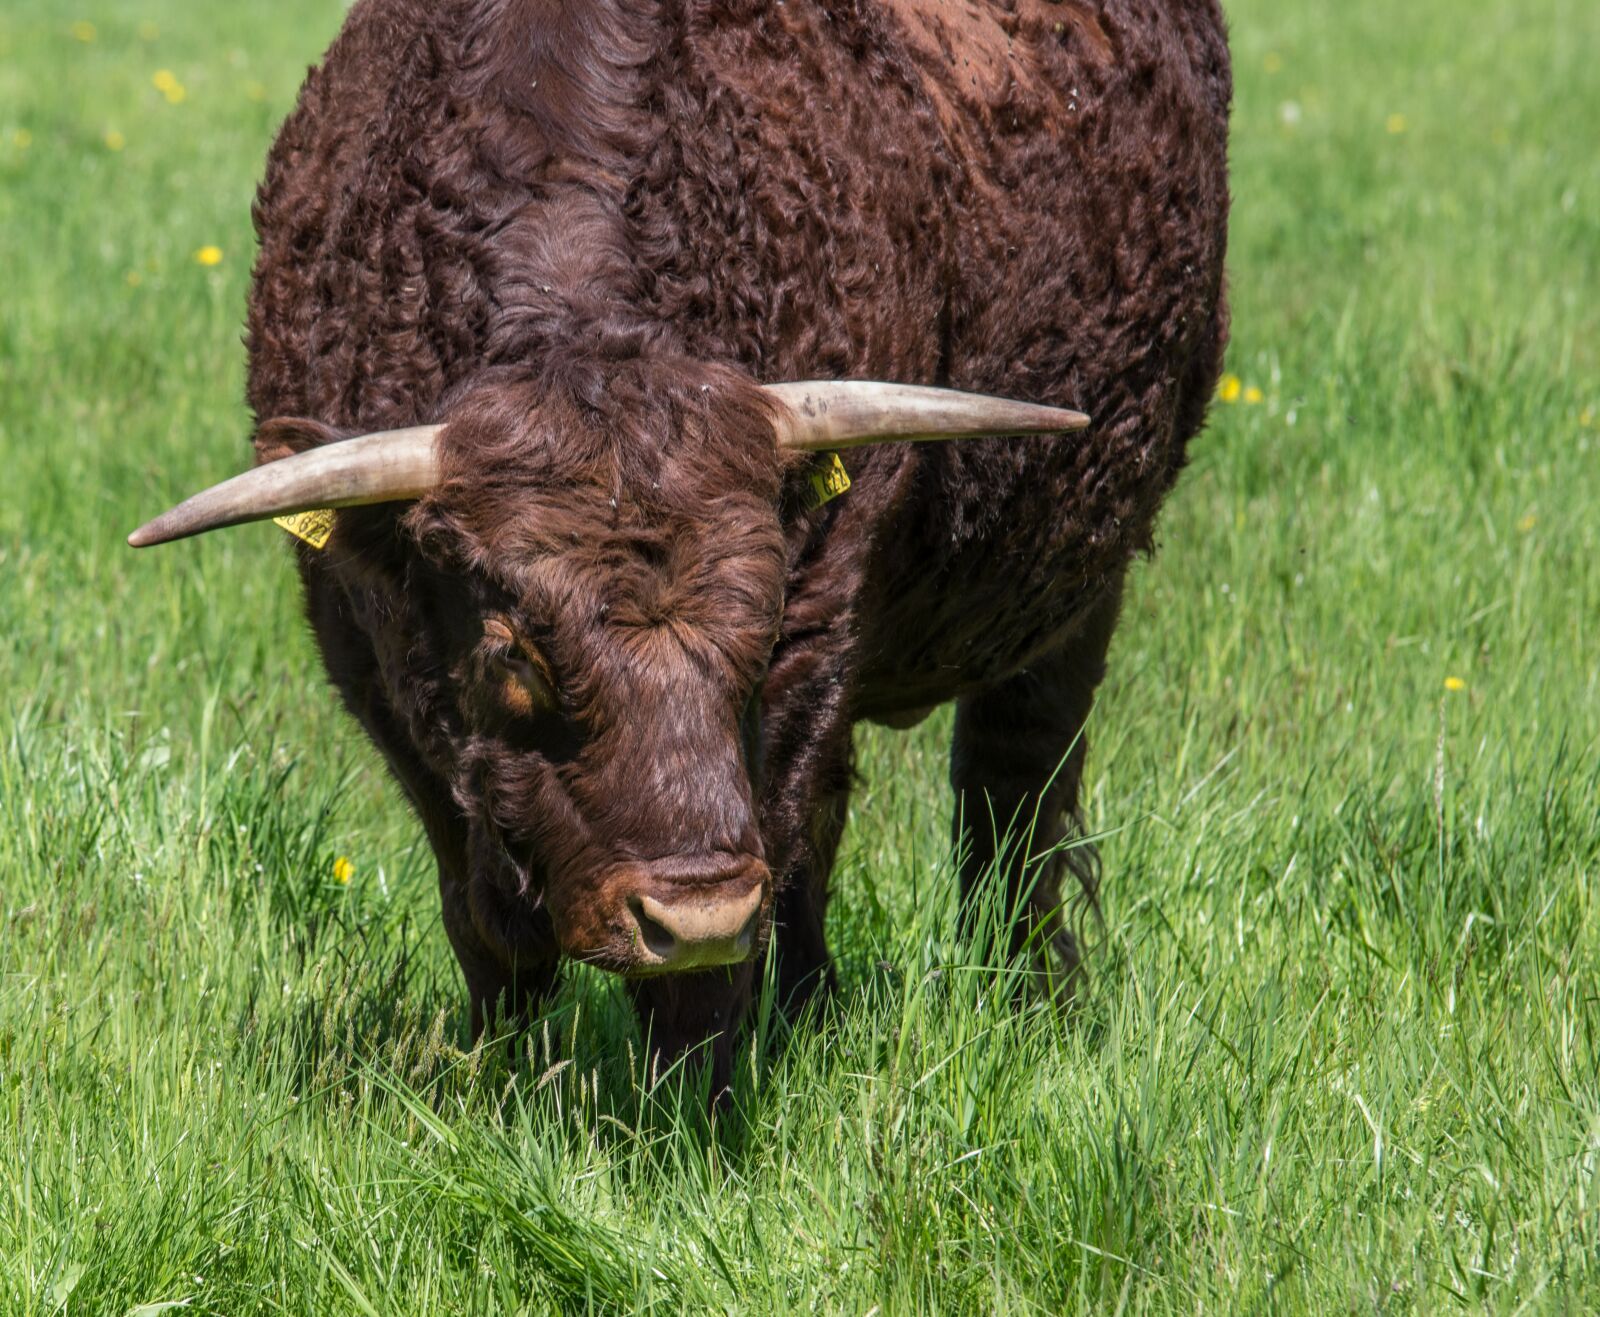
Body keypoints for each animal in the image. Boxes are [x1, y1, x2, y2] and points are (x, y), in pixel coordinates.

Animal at [134, 0, 1235, 1088]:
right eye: (515, 651)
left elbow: (723, 953)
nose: (696, 910)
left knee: (1011, 809)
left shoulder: (813, 644)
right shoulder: (375, 664)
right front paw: (507, 1086)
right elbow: (487, 925)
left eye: (761, 626)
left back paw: (1032, 1005)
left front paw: (690, 1112)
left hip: (1078, 586)